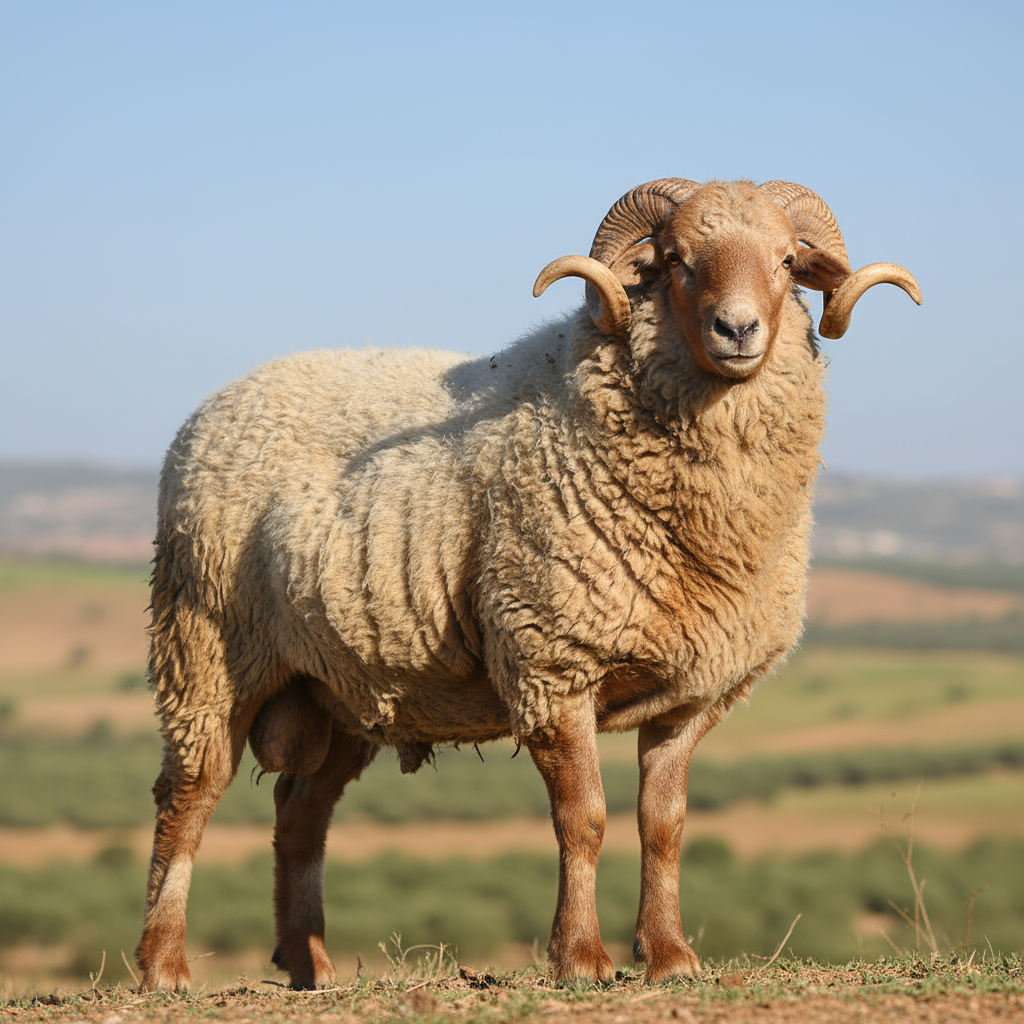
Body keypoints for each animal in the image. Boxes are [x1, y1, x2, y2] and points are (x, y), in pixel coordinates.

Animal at [135, 178, 921, 991]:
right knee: (187, 797)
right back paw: (164, 966)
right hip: (207, 648)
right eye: (675, 259)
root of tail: (219, 403)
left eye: (788, 259)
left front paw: (671, 958)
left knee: (300, 811)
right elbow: (585, 818)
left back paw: (311, 967)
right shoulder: (550, 662)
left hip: (344, 685)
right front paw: (580, 959)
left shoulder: (692, 696)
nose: (737, 329)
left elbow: (664, 825)